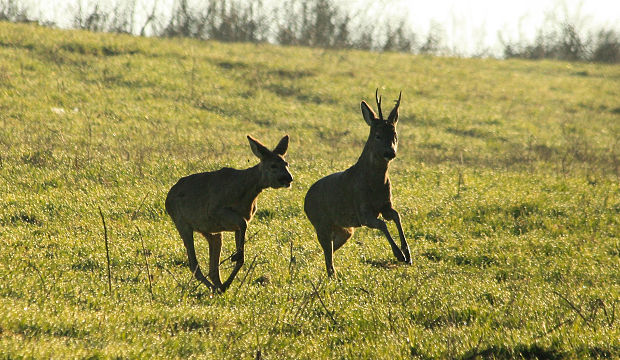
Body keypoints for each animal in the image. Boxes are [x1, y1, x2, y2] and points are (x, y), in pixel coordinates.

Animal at [163, 135, 292, 292]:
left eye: (286, 163)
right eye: (273, 165)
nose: (288, 178)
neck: (245, 191)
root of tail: (168, 197)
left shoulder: (238, 221)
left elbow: (242, 248)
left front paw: (234, 262)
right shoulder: (215, 210)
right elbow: (242, 225)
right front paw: (235, 258)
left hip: (211, 232)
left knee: (212, 266)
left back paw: (219, 287)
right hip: (182, 223)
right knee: (194, 264)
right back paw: (216, 288)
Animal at [302, 90, 410, 276]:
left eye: (395, 135)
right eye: (378, 135)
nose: (390, 152)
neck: (374, 184)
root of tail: (305, 200)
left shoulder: (386, 205)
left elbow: (397, 215)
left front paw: (408, 253)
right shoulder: (362, 211)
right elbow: (382, 224)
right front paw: (399, 254)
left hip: (345, 229)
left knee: (330, 251)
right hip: (321, 223)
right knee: (328, 255)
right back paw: (331, 275)